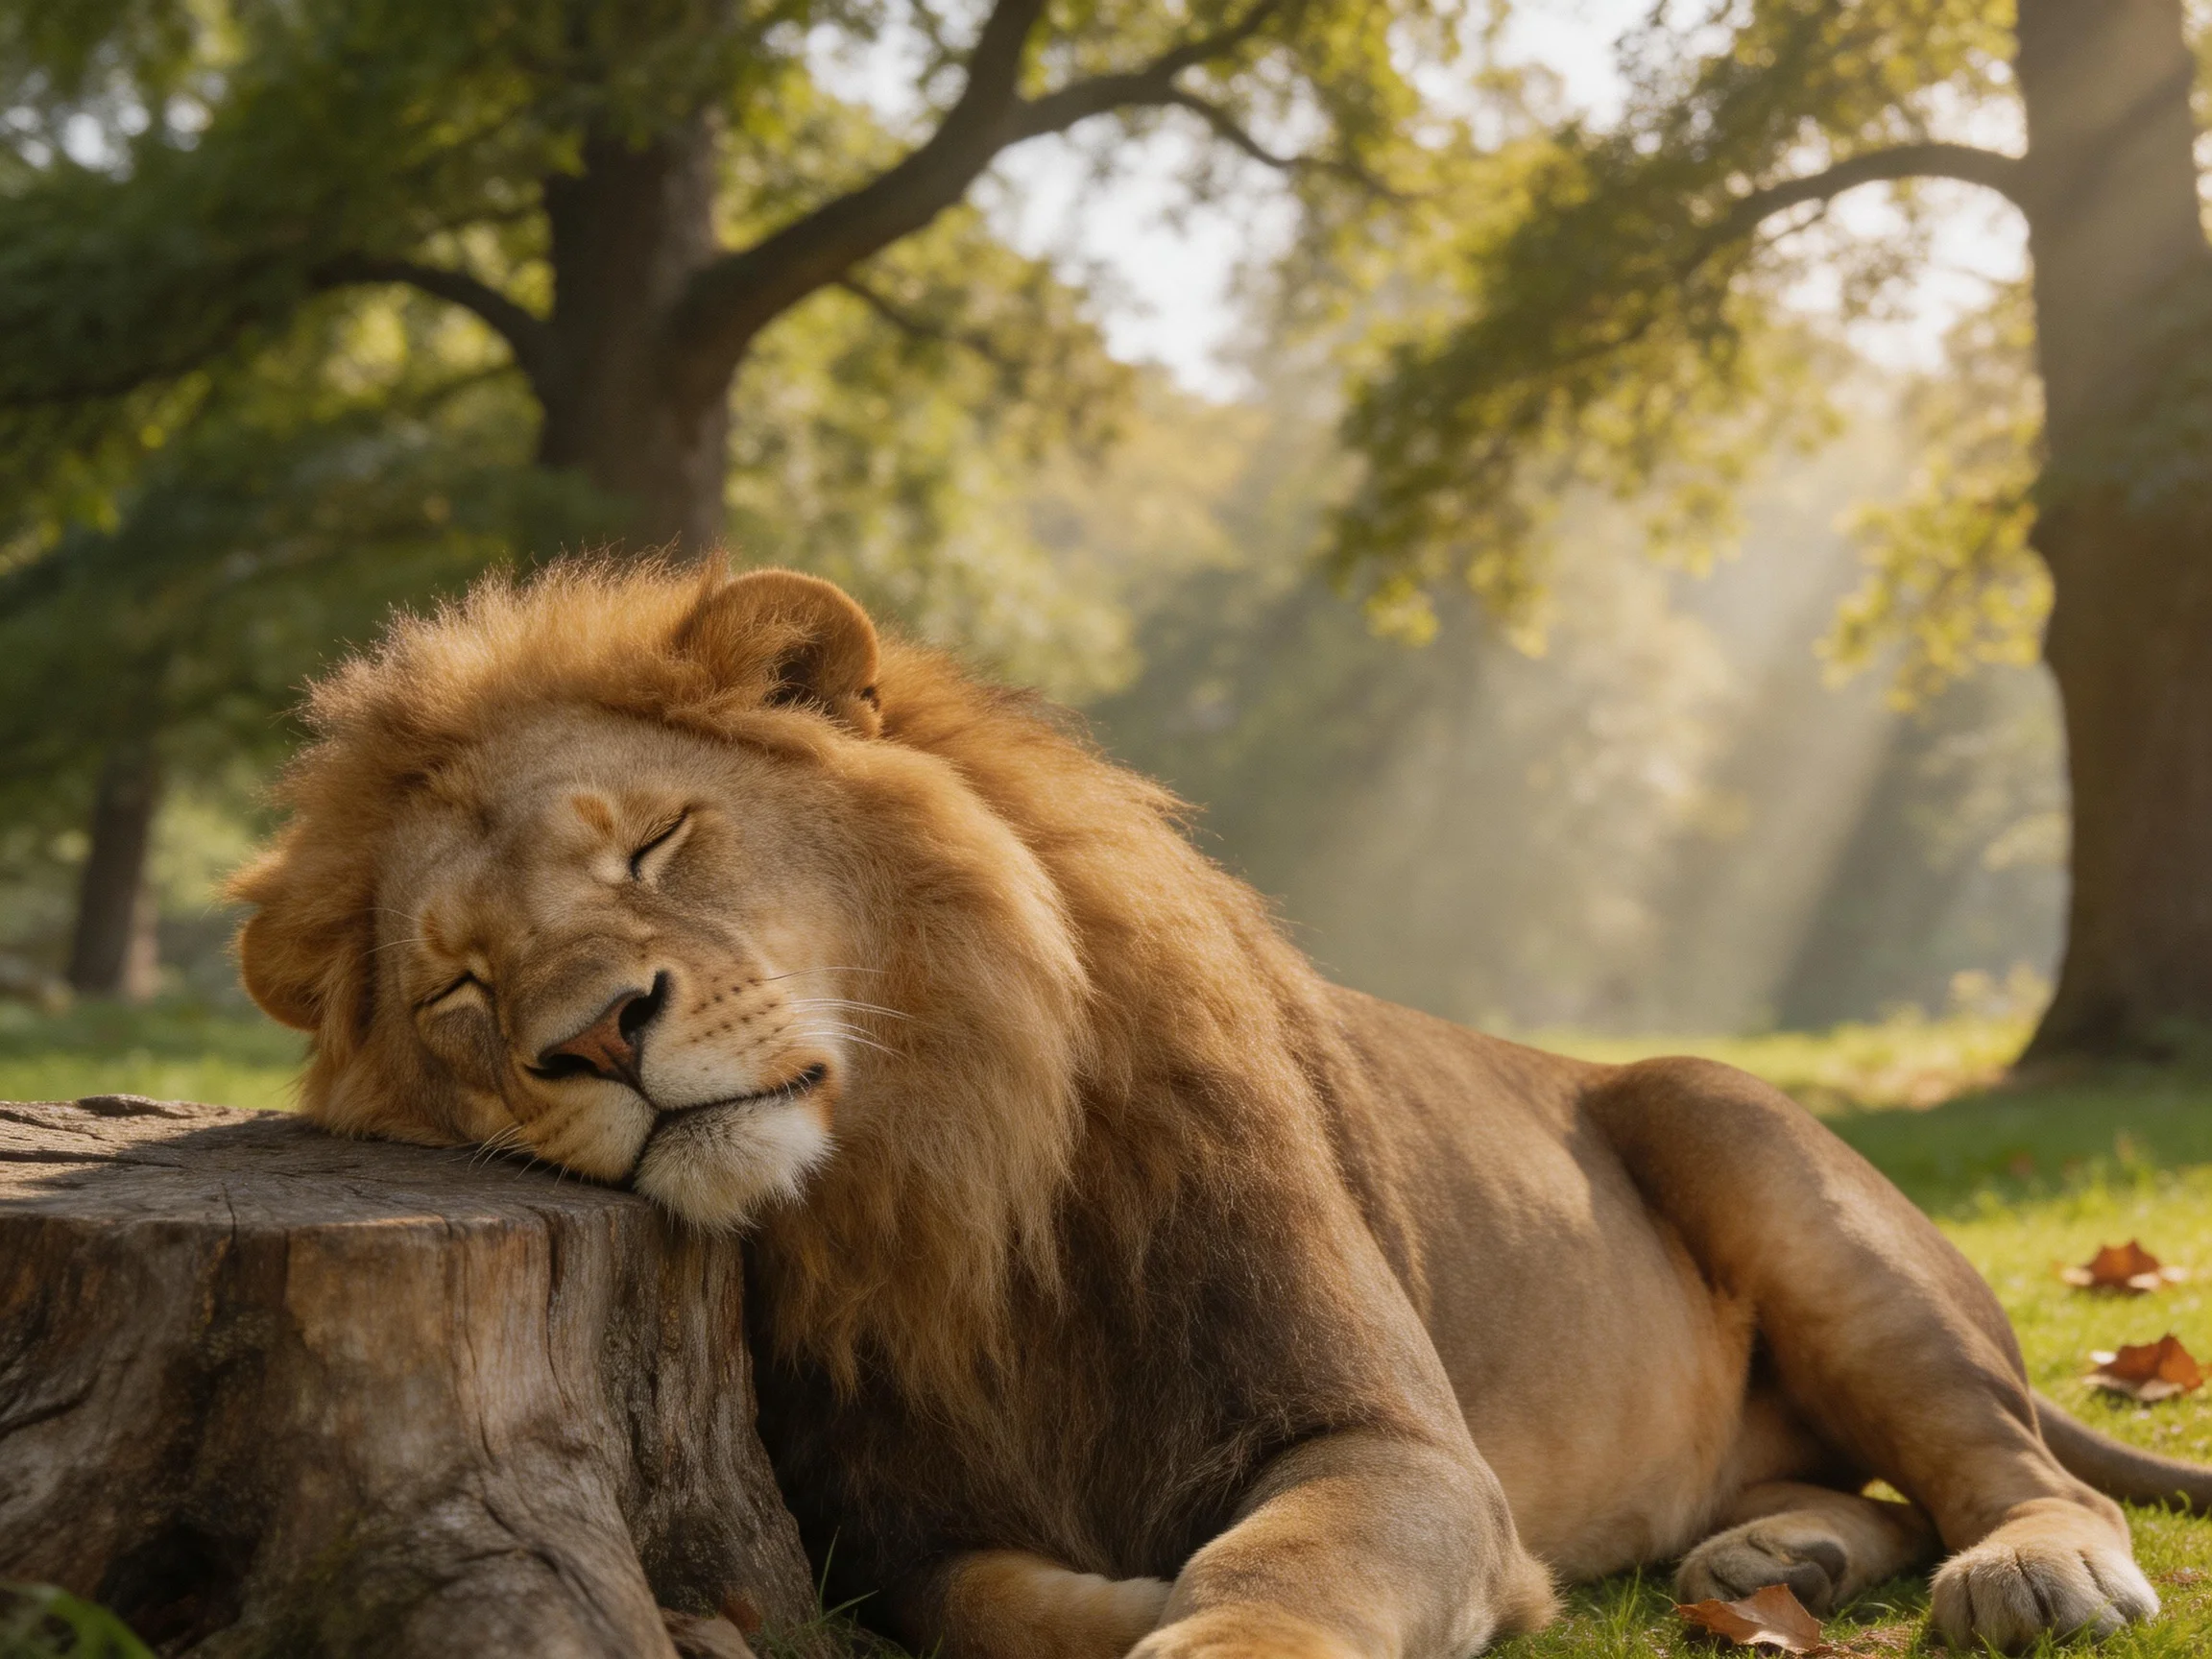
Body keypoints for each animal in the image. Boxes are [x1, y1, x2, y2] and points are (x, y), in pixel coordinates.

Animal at [230, 560, 2211, 1659]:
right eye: (463, 994)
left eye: (652, 842)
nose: (593, 1038)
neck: (912, 1190)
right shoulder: (878, 1517)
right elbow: (973, 1593)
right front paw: (1125, 1600)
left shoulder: (1391, 1443)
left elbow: (1291, 1558)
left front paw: (1203, 1619)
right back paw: (1771, 1546)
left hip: (1750, 1146)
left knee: (2006, 1461)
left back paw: (2025, 1570)